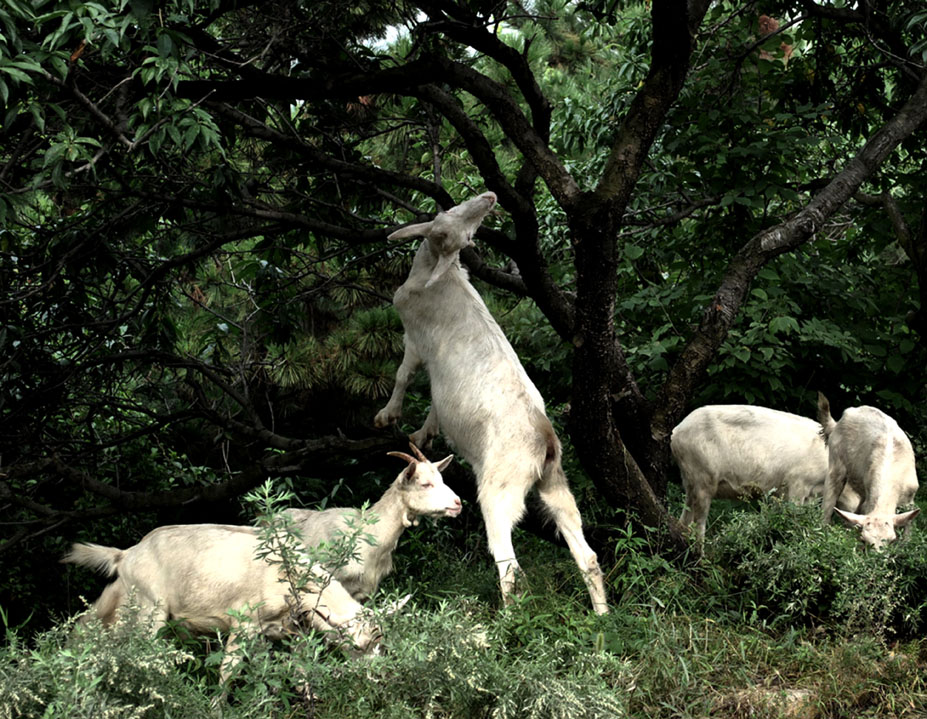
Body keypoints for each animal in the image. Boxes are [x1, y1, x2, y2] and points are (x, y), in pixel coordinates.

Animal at [62, 524, 398, 688]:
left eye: (380, 644)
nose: (378, 677)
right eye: (357, 646)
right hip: (149, 611)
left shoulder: (286, 632)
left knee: (90, 628)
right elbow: (228, 672)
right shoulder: (243, 625)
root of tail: (125, 555)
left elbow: (293, 673)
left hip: (120, 600)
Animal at [374, 190, 612, 612]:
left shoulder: (415, 340)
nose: (490, 196)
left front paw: (388, 416)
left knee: (509, 564)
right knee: (587, 555)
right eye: (453, 220)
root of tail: (545, 441)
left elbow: (404, 375)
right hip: (556, 485)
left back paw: (508, 619)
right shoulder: (438, 376)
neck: (438, 276)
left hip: (498, 492)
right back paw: (602, 615)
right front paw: (423, 435)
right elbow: (436, 401)